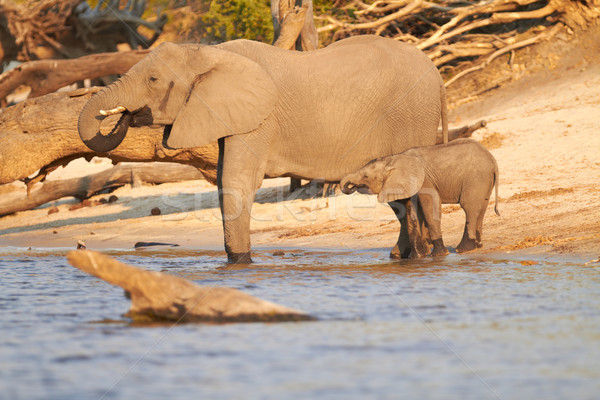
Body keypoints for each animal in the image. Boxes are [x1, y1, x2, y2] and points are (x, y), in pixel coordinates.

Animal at [77, 36, 448, 264]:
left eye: (153, 80)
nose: (127, 114)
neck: (208, 52)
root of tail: (438, 74)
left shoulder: (257, 121)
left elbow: (237, 183)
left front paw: (241, 263)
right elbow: (227, 180)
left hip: (412, 115)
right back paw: (401, 257)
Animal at [340, 139, 500, 255]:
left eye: (366, 176)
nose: (349, 185)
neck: (394, 158)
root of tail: (493, 161)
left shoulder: (425, 180)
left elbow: (431, 204)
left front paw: (439, 254)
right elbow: (413, 211)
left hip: (476, 178)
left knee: (469, 207)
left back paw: (463, 249)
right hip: (483, 180)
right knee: (481, 207)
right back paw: (478, 245)